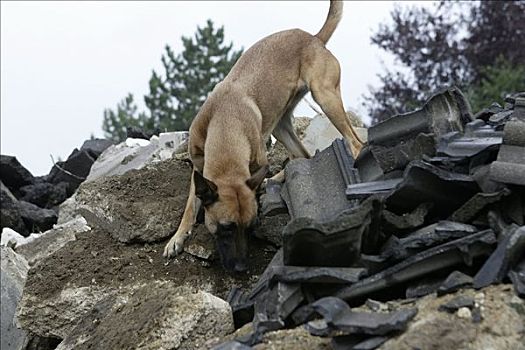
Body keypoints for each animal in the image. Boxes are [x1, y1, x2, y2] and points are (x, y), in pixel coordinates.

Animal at [163, 0, 360, 272]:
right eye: (226, 228)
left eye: (250, 227)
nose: (241, 269)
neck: (226, 123)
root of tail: (314, 38)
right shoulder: (200, 167)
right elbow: (190, 205)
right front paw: (178, 236)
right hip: (280, 124)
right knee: (303, 155)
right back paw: (274, 179)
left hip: (325, 96)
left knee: (355, 141)